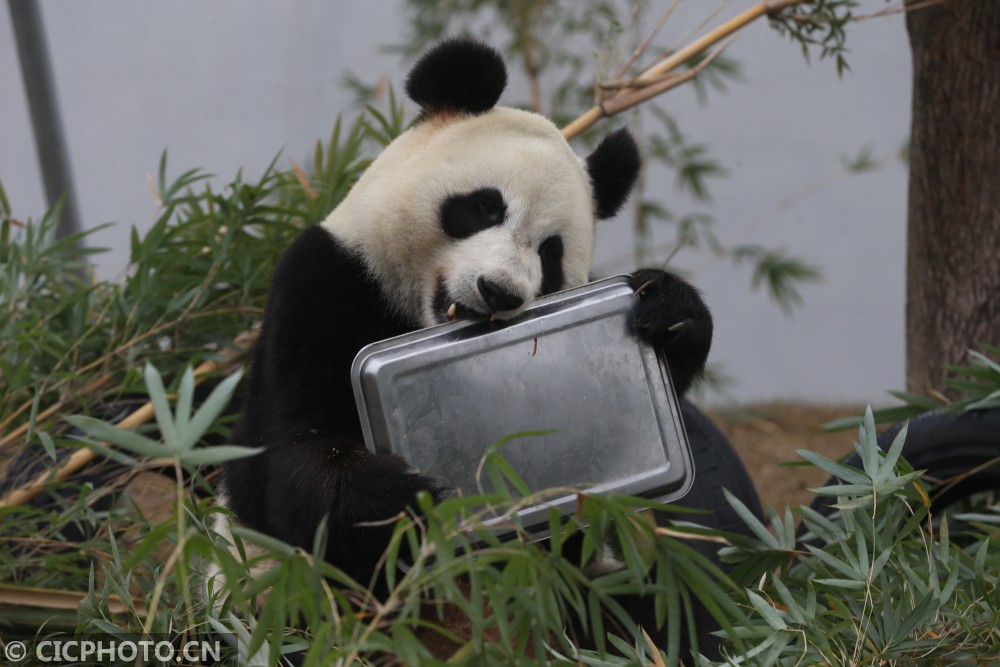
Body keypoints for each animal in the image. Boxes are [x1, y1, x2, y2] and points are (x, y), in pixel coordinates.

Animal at [218, 37, 716, 652]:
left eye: (551, 253)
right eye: (484, 207)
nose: (499, 291)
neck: (413, 316)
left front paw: (671, 312)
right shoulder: (322, 285)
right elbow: (287, 465)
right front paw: (409, 500)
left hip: (596, 603)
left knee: (655, 615)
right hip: (277, 608)